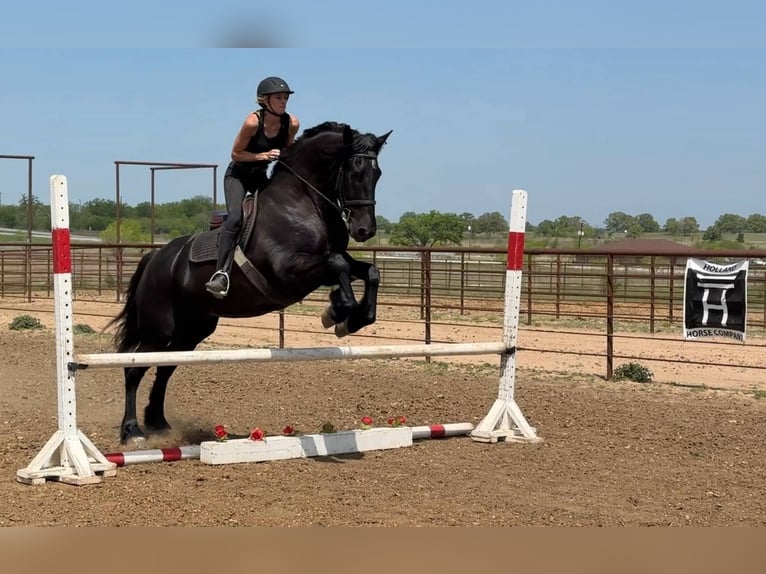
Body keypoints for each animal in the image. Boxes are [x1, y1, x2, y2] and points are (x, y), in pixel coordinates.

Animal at [106, 121, 392, 444]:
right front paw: (336, 312)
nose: (365, 230)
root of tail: (155, 258)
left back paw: (158, 423)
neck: (303, 202)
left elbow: (368, 271)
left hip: (192, 330)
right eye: (355, 171)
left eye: (378, 174)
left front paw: (351, 318)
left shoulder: (330, 261)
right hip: (159, 328)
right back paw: (132, 431)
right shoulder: (287, 271)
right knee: (134, 369)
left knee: (165, 368)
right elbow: (337, 264)